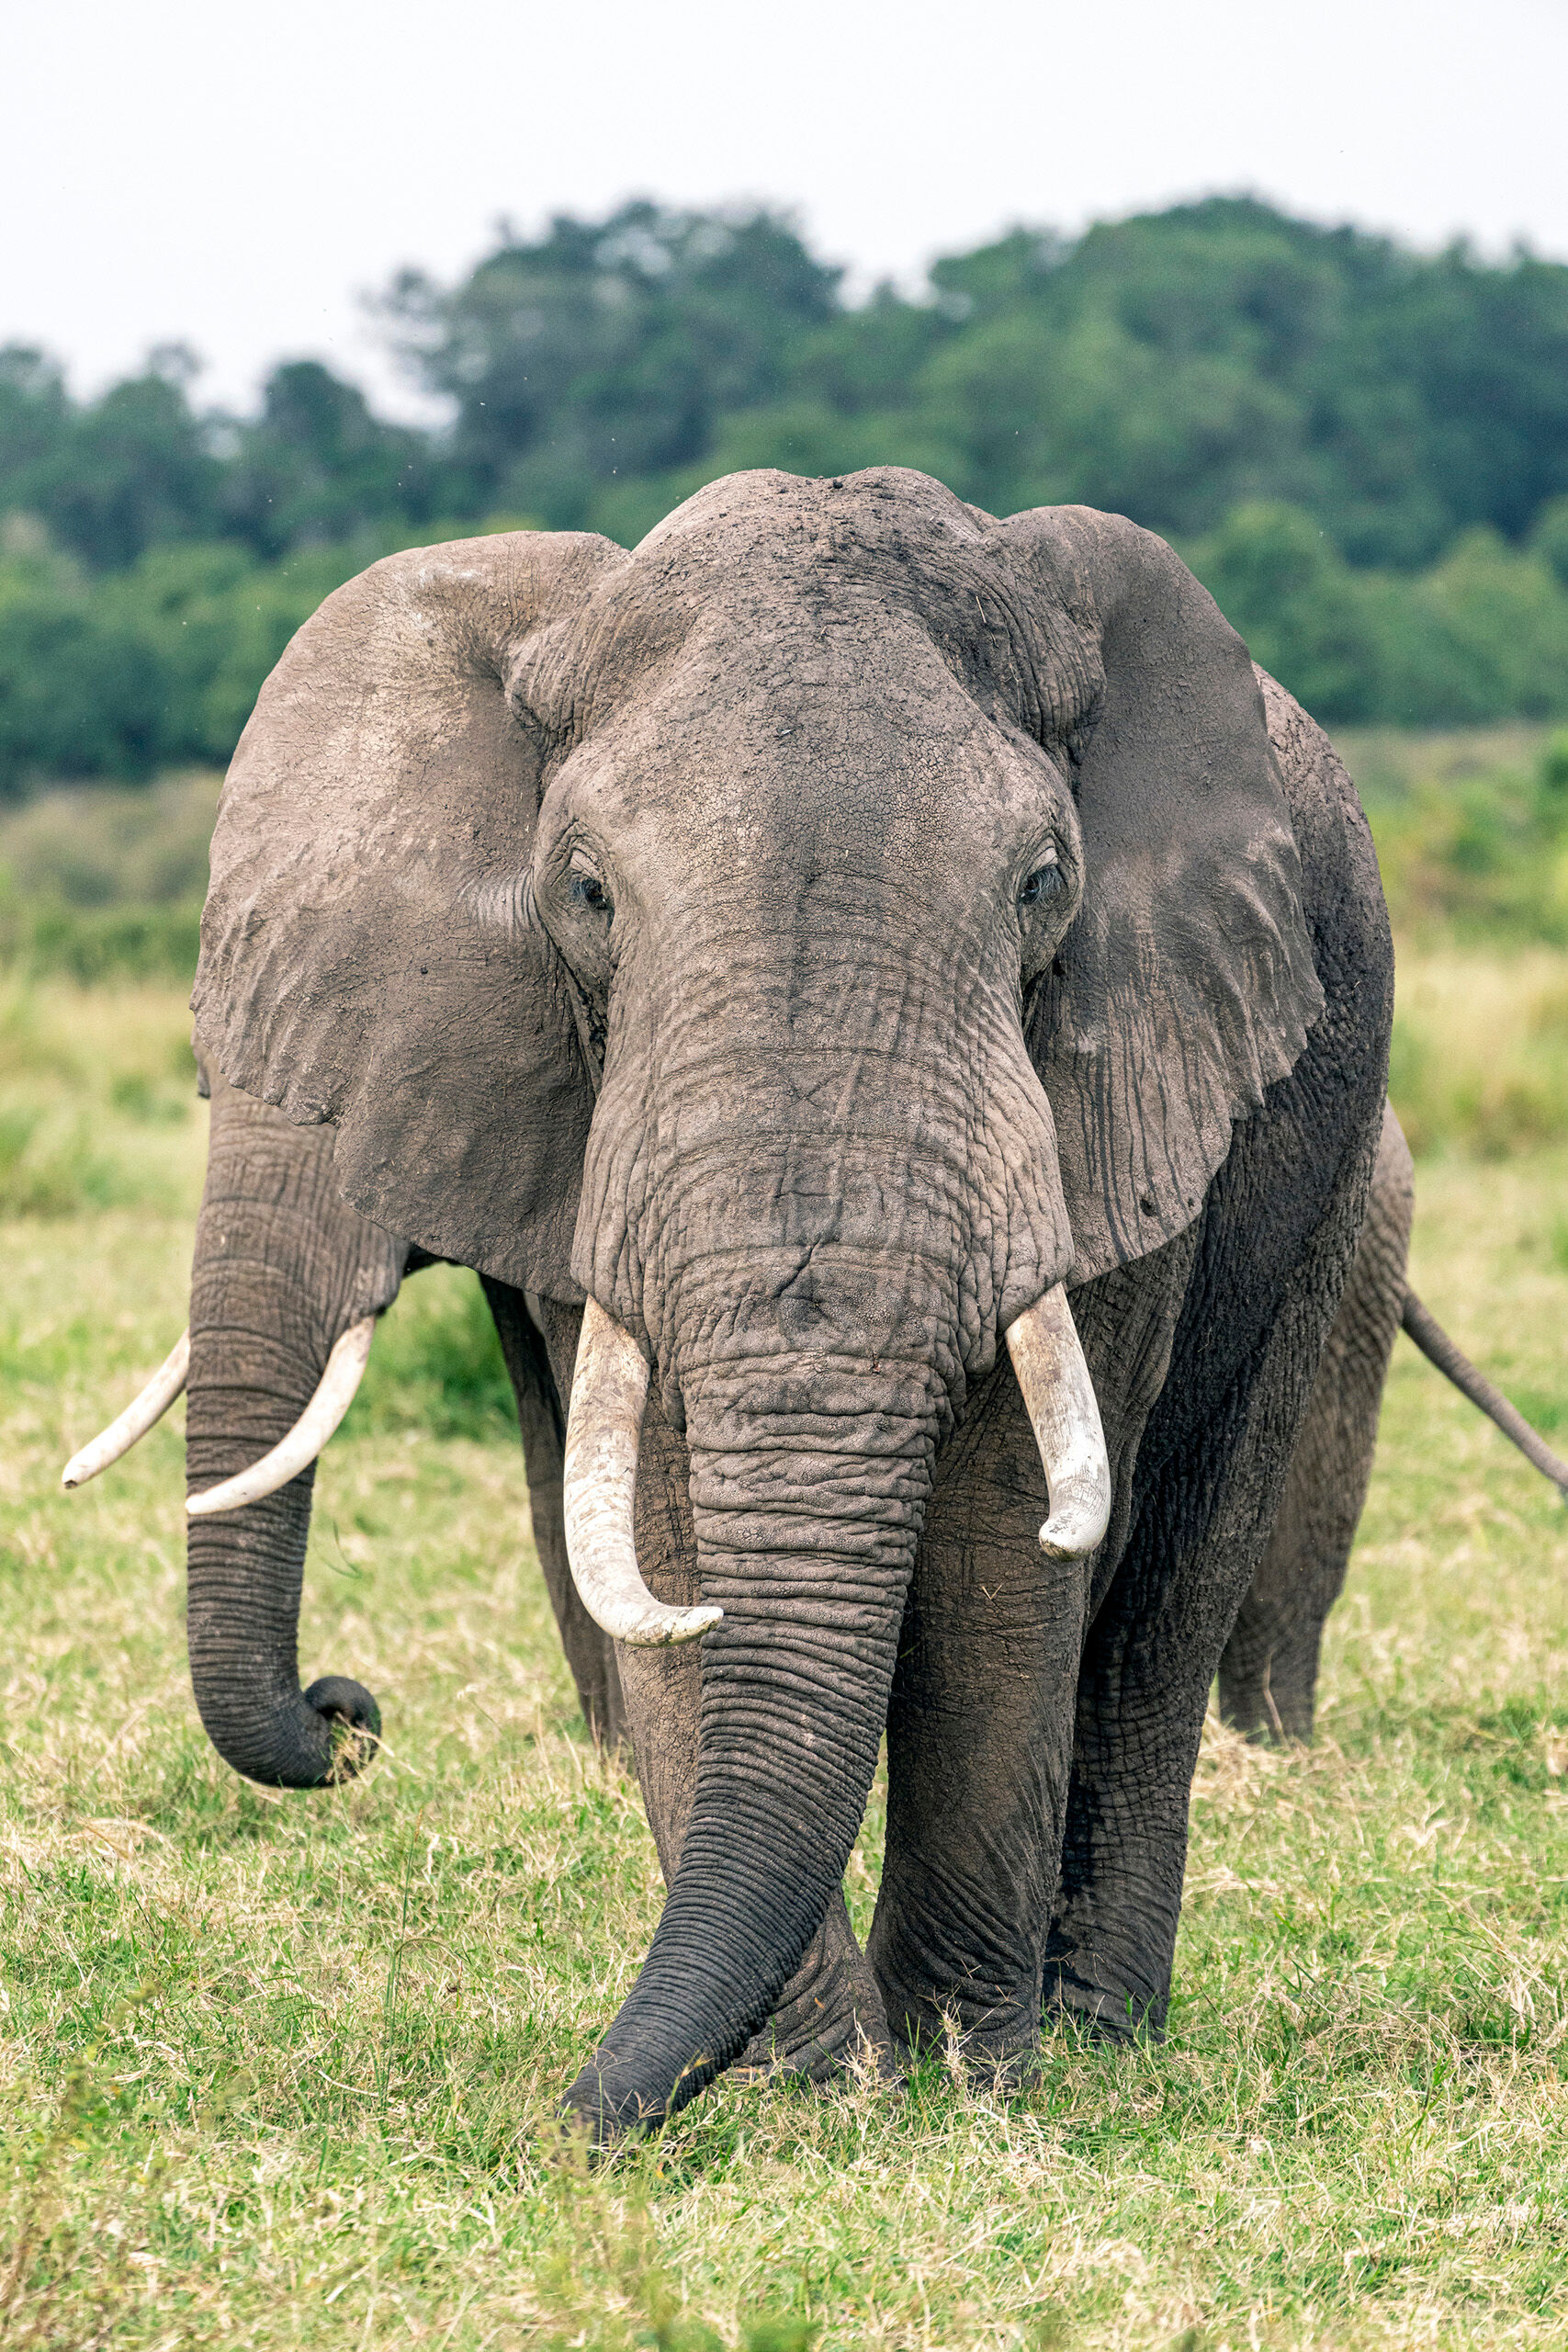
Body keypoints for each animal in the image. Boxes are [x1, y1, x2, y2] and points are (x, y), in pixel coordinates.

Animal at [65, 467, 1401, 2143]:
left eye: (1043, 885)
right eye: (584, 892)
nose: (343, 1705)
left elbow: (1005, 1535)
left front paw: (962, 2082)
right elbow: (655, 1527)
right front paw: (816, 2091)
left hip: (1324, 1151)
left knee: (1175, 1569)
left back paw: (1101, 2033)